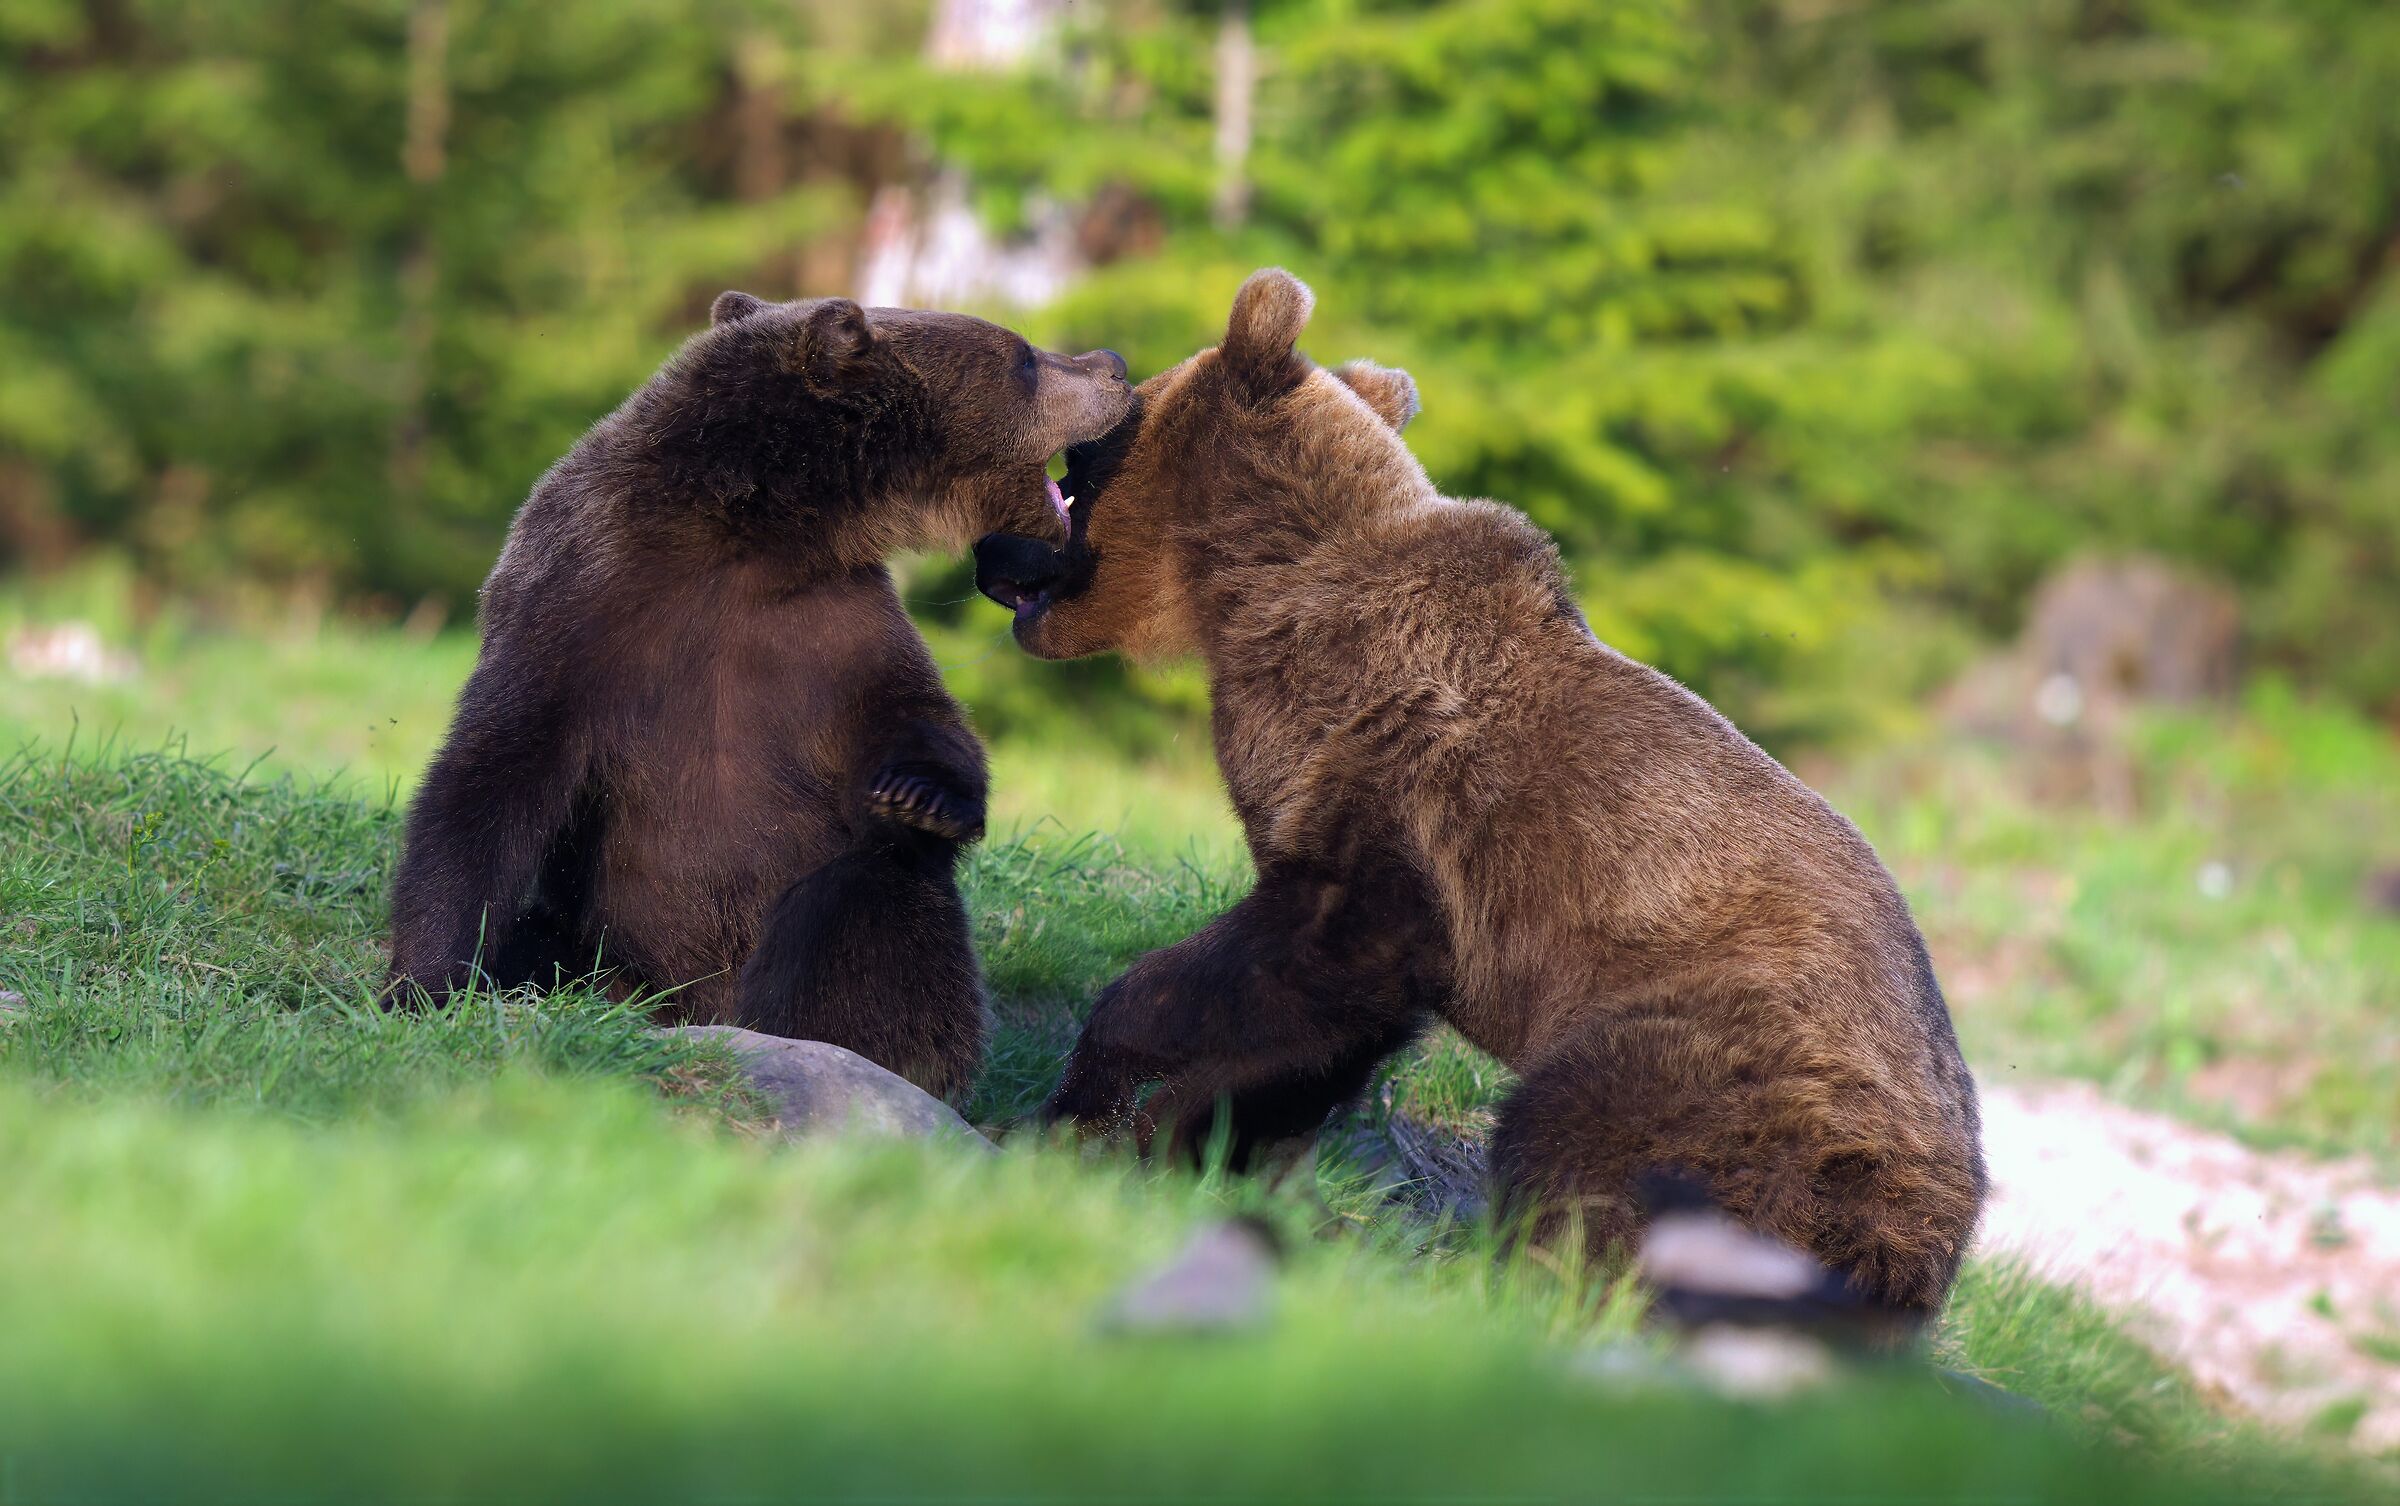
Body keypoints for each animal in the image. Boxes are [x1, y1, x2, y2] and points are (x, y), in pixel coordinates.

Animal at [388, 291, 1131, 1100]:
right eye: (1024, 357)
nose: (1115, 364)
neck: (754, 526)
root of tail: (692, 1007)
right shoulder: (583, 596)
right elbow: (495, 775)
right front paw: (424, 983)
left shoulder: (834, 628)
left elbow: (913, 720)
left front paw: (921, 795)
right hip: (597, 940)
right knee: (547, 941)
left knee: (867, 909)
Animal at [971, 269, 1986, 1316]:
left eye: (1081, 466)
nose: (990, 555)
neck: (1264, 593)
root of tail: (1926, 1248)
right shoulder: (1401, 894)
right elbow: (1320, 1028)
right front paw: (1195, 1142)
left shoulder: (1401, 800)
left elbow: (1272, 963)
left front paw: (1084, 1108)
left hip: (1726, 1063)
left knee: (1586, 1143)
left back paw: (1514, 1281)